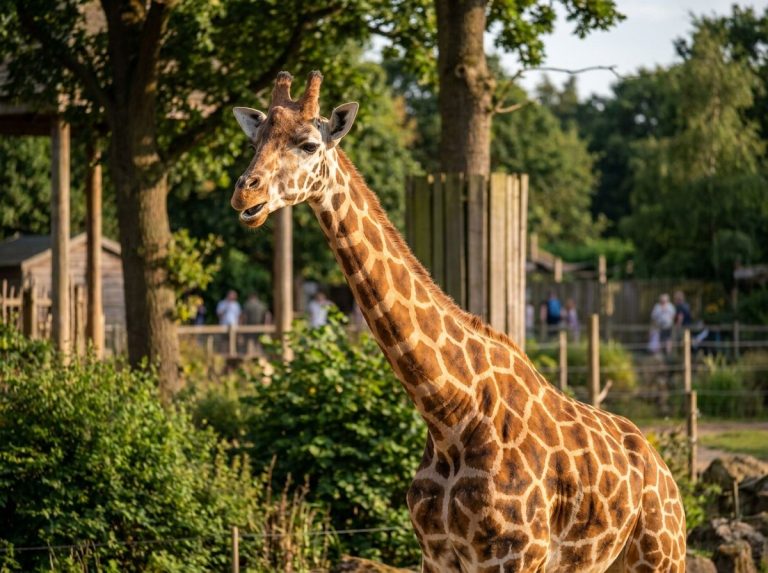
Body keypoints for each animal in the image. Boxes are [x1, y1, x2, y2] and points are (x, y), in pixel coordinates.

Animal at [231, 71, 687, 572]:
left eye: (310, 144)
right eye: (254, 140)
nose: (245, 192)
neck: (448, 413)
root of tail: (663, 467)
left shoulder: (516, 556)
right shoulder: (436, 555)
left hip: (662, 555)